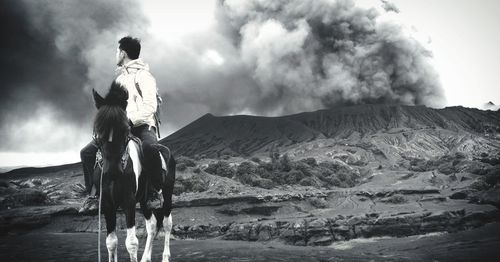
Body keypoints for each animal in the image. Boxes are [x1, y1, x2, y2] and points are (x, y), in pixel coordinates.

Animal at [92, 81, 176, 260]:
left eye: (125, 129)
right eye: (98, 129)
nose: (113, 171)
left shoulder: (128, 201)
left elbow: (131, 243)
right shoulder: (107, 204)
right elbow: (111, 242)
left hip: (167, 193)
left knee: (167, 223)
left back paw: (165, 257)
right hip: (144, 201)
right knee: (152, 225)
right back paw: (146, 258)